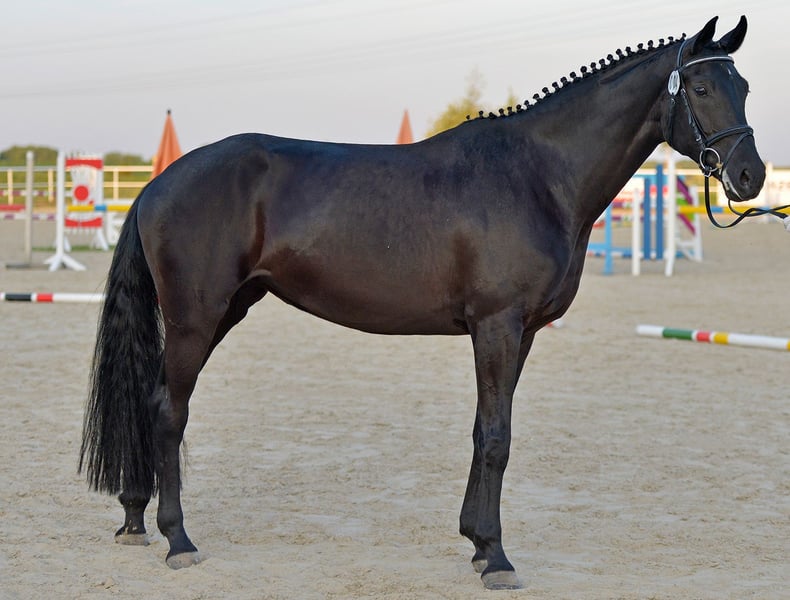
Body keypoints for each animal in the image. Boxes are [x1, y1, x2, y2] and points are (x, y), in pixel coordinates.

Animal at [79, 16, 764, 590]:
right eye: (702, 88)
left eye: (746, 87)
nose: (750, 177)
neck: (538, 175)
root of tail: (157, 184)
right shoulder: (497, 326)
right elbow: (497, 436)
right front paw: (498, 558)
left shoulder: (522, 332)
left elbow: (485, 431)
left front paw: (479, 545)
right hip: (195, 318)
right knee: (169, 410)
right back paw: (177, 539)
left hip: (225, 311)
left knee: (151, 401)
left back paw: (135, 520)